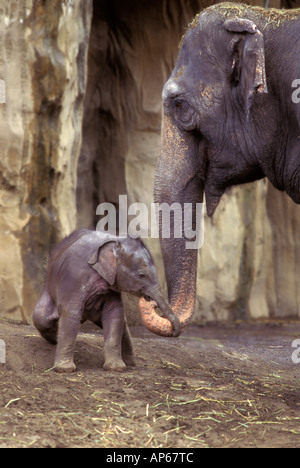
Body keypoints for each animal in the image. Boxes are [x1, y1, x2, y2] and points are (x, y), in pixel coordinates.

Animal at [33, 229, 180, 372]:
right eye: (141, 275)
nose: (151, 302)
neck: (116, 240)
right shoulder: (74, 276)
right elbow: (71, 312)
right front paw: (65, 369)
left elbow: (114, 314)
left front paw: (116, 368)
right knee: (41, 318)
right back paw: (55, 338)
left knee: (122, 323)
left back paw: (130, 364)